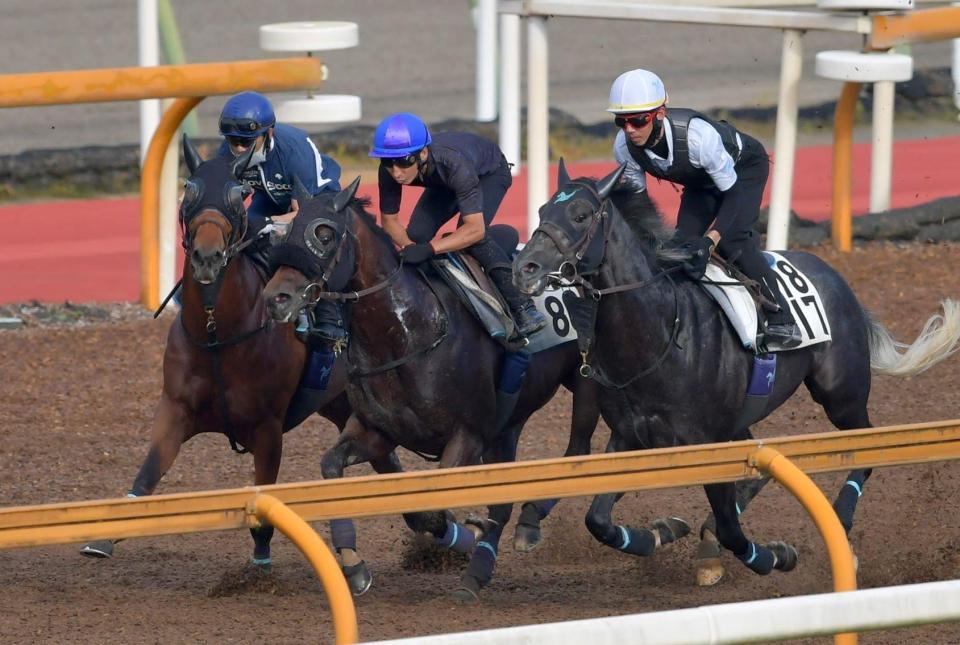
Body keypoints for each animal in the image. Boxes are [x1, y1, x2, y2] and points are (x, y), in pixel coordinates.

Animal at [80, 133, 372, 580]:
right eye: (189, 189)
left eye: (238, 194)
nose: (207, 257)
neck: (220, 334)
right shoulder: (175, 409)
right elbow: (148, 472)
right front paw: (104, 537)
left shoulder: (268, 428)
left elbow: (263, 498)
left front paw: (260, 561)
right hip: (341, 405)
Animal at [260, 176, 684, 600]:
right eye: (288, 230)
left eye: (324, 233)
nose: (275, 298)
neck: (408, 333)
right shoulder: (377, 430)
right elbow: (339, 471)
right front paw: (354, 566)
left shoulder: (467, 435)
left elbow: (434, 511)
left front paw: (468, 534)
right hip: (511, 418)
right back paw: (484, 565)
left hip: (587, 385)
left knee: (577, 451)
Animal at [512, 160, 960, 580]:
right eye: (542, 210)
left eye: (581, 215)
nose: (525, 267)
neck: (660, 334)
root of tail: (835, 276)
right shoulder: (631, 438)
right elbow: (599, 521)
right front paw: (661, 532)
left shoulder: (707, 443)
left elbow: (731, 529)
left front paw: (774, 556)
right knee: (758, 467)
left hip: (840, 394)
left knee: (866, 447)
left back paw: (842, 530)